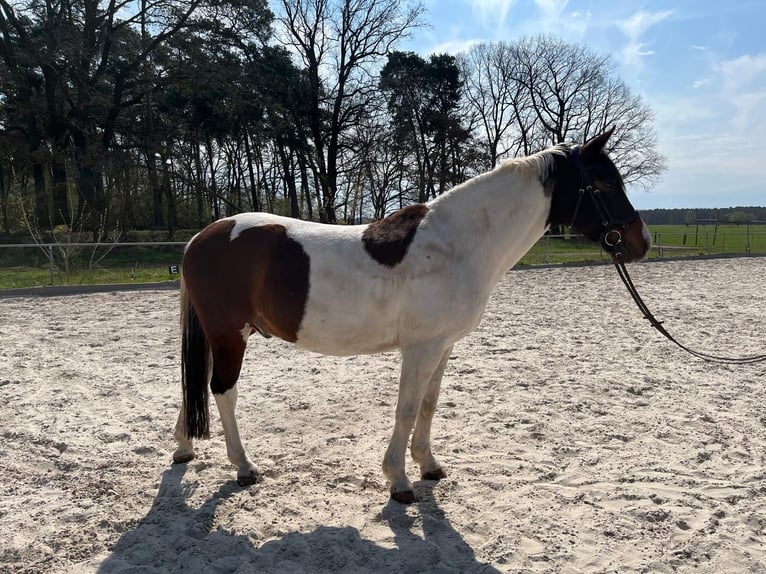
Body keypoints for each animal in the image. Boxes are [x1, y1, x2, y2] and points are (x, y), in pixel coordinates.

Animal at [172, 128, 652, 504]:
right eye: (606, 184)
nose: (641, 242)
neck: (457, 242)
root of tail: (201, 237)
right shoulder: (420, 348)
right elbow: (405, 409)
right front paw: (399, 480)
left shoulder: (443, 346)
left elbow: (428, 404)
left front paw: (428, 464)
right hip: (230, 336)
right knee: (222, 392)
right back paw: (243, 467)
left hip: (218, 336)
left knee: (193, 386)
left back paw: (183, 448)